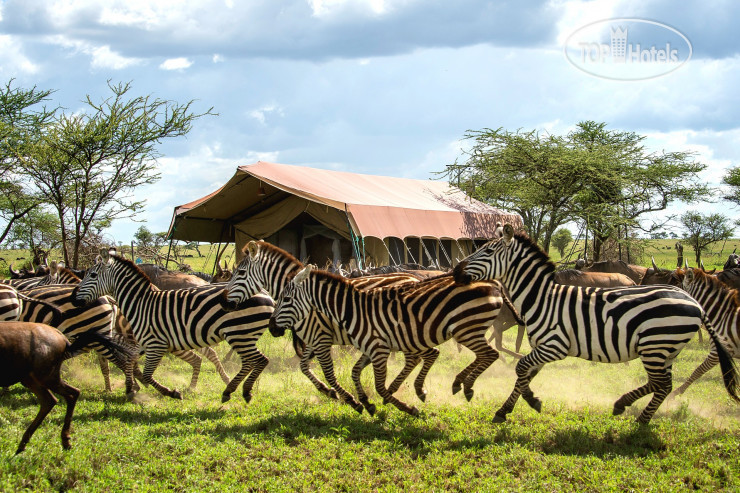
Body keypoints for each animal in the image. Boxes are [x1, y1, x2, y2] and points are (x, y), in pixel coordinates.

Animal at [73, 248, 274, 402]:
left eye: (92, 275)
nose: (74, 298)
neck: (141, 303)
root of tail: (265, 293)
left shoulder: (155, 344)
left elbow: (147, 375)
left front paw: (171, 393)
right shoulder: (143, 343)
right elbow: (130, 361)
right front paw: (130, 389)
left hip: (238, 334)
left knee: (260, 359)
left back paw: (241, 391)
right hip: (241, 335)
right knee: (249, 361)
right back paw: (230, 389)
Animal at [225, 240, 440, 414]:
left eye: (240, 273)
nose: (225, 304)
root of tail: (415, 278)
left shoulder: (321, 338)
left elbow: (328, 373)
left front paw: (352, 401)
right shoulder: (313, 340)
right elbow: (304, 367)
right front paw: (328, 392)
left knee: (417, 357)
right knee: (416, 358)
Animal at [268, 266, 502, 416]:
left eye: (285, 299)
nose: (271, 327)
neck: (352, 311)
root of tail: (491, 281)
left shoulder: (376, 350)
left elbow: (377, 386)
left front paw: (407, 409)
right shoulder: (371, 347)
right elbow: (355, 372)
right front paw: (367, 403)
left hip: (465, 329)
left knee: (491, 354)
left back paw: (465, 386)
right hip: (454, 332)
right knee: (477, 355)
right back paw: (451, 384)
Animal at [454, 225, 736, 420]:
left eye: (488, 250)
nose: (455, 271)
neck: (542, 298)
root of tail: (695, 302)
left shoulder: (553, 346)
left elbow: (521, 368)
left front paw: (522, 404)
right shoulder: (543, 348)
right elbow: (525, 375)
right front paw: (515, 406)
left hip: (657, 346)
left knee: (663, 384)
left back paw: (640, 420)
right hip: (664, 349)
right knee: (661, 384)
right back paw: (625, 405)